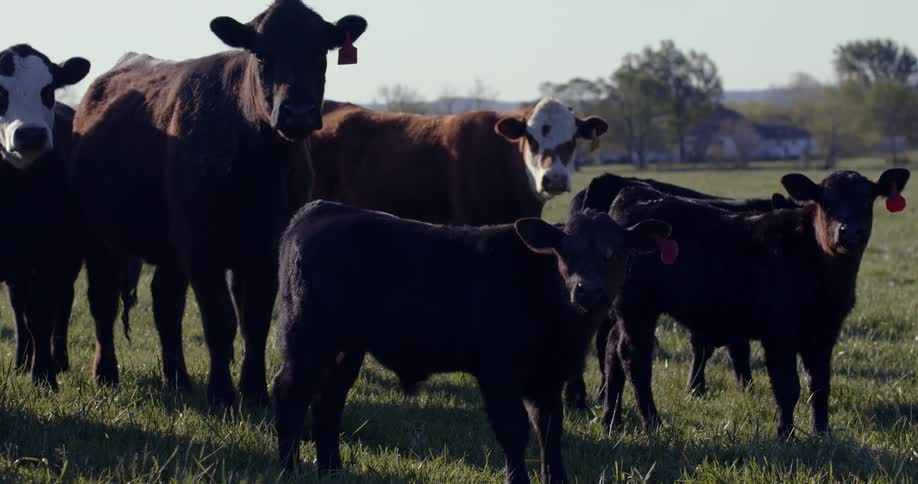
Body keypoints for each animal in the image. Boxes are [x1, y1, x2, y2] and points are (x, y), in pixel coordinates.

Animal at [0, 44, 90, 384]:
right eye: (0, 91)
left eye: (48, 90)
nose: (30, 134)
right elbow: (25, 314)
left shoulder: (52, 252)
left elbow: (41, 315)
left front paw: (44, 377)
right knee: (17, 307)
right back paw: (20, 362)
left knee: (60, 305)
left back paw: (56, 360)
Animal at [70, 0, 367, 404]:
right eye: (261, 54)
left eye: (321, 51)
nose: (298, 112)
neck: (259, 165)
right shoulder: (201, 247)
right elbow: (219, 319)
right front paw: (222, 393)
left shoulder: (266, 246)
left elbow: (255, 320)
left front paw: (254, 392)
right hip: (97, 233)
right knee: (103, 300)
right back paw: (106, 374)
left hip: (168, 248)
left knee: (166, 303)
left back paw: (177, 378)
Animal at [271, 200, 672, 483]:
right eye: (564, 253)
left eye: (614, 252)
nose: (587, 290)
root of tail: (318, 209)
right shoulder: (498, 373)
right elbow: (514, 432)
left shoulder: (548, 377)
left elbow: (550, 431)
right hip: (307, 336)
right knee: (290, 391)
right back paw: (290, 471)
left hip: (346, 348)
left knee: (328, 400)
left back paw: (332, 471)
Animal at [601, 169, 909, 438]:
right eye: (825, 201)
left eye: (867, 199)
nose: (850, 231)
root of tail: (634, 193)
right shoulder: (779, 333)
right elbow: (788, 387)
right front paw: (786, 435)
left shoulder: (824, 333)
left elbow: (819, 386)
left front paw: (823, 433)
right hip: (638, 308)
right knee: (634, 358)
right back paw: (652, 423)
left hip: (624, 311)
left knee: (612, 351)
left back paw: (611, 421)